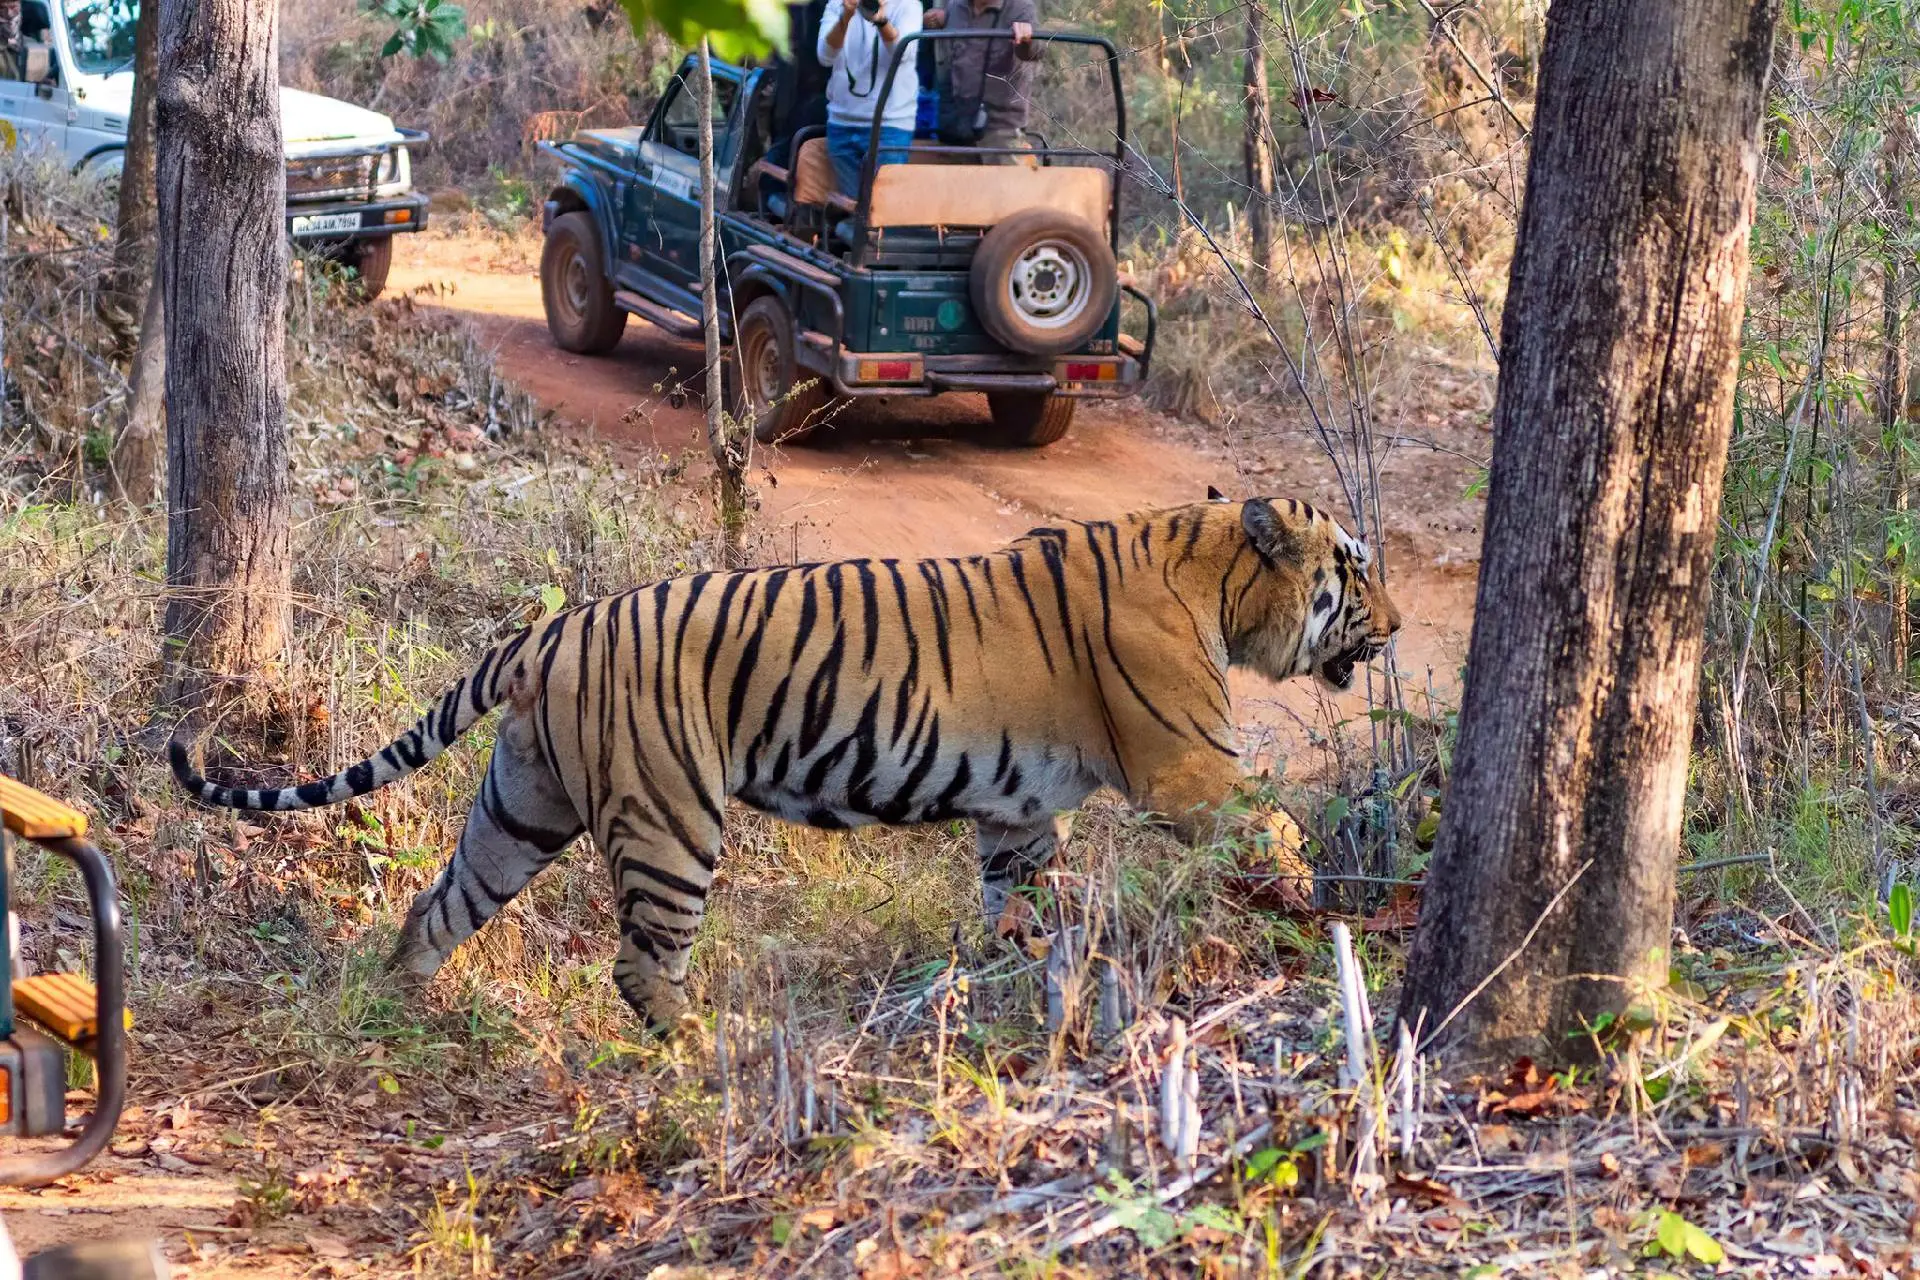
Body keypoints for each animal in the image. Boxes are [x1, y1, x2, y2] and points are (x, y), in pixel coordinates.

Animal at [172, 491, 1405, 1028]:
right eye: (1353, 564)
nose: (1392, 624)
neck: (1212, 574)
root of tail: (550, 630)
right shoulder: (1189, 768)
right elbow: (1276, 824)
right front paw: (1319, 905)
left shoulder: (1019, 813)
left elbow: (1016, 901)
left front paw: (1013, 978)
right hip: (673, 816)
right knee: (643, 965)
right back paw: (697, 1053)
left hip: (520, 806)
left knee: (436, 908)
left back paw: (404, 1015)